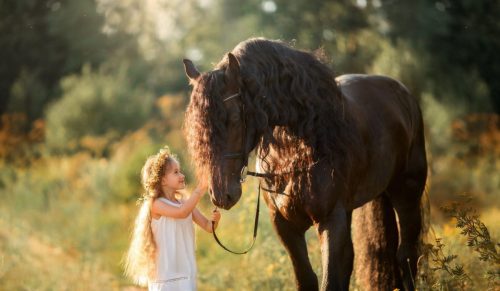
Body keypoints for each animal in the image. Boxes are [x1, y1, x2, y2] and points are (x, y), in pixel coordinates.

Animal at [183, 38, 426, 291]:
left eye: (232, 118)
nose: (221, 195)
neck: (295, 154)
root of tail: (402, 94)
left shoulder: (330, 220)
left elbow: (330, 281)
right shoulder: (285, 225)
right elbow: (307, 278)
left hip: (407, 193)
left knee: (406, 255)